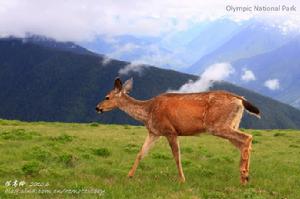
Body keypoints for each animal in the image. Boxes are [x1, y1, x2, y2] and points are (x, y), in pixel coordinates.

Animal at [96, 77, 260, 185]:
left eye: (107, 97)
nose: (97, 108)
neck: (148, 112)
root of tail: (240, 99)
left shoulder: (170, 131)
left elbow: (177, 157)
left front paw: (182, 179)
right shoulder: (154, 132)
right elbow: (140, 153)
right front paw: (129, 176)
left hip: (218, 125)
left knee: (247, 137)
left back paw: (245, 176)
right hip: (231, 124)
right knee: (243, 142)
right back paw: (244, 176)